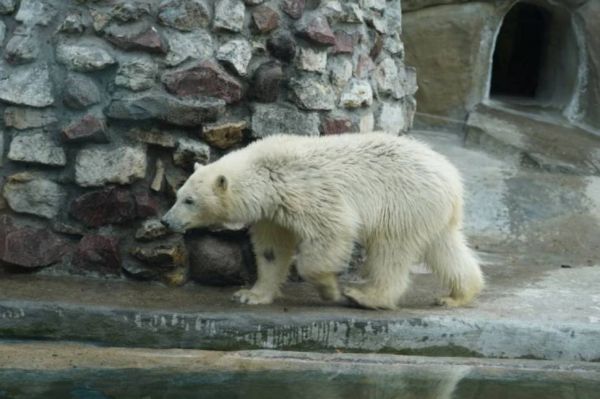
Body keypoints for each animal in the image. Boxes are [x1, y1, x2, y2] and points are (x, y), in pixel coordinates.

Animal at [162, 133, 486, 310]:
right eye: (177, 195)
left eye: (189, 200)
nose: (166, 221)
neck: (266, 173)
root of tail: (452, 177)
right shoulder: (271, 213)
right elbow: (271, 251)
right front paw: (250, 295)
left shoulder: (304, 191)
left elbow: (332, 231)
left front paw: (329, 288)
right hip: (430, 210)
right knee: (445, 246)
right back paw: (457, 295)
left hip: (404, 201)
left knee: (390, 250)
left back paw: (365, 296)